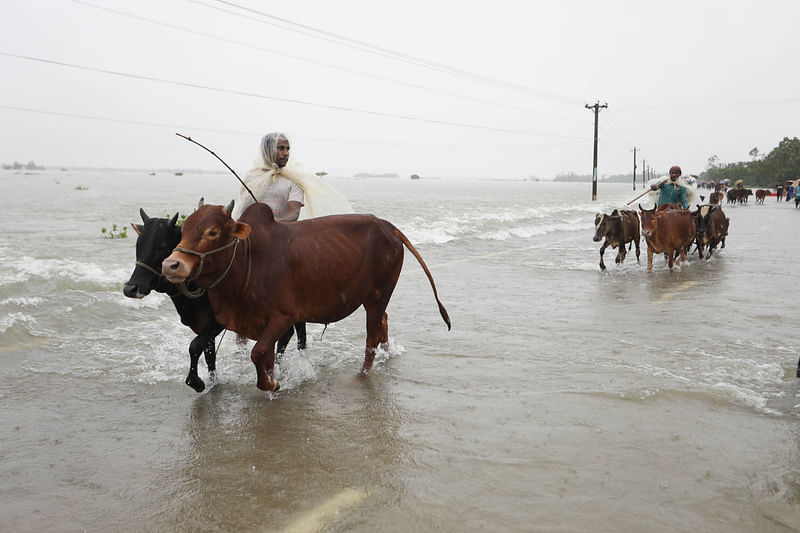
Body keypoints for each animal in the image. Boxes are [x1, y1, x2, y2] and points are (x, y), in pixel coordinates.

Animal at [161, 200, 450, 390]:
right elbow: (266, 356)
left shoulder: (283, 317)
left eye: (212, 232)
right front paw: (273, 379)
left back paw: (362, 375)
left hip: (379, 295)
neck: (247, 260)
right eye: (184, 229)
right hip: (374, 298)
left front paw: (272, 385)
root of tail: (388, 226)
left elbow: (258, 353)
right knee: (383, 324)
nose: (171, 265)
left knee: (372, 337)